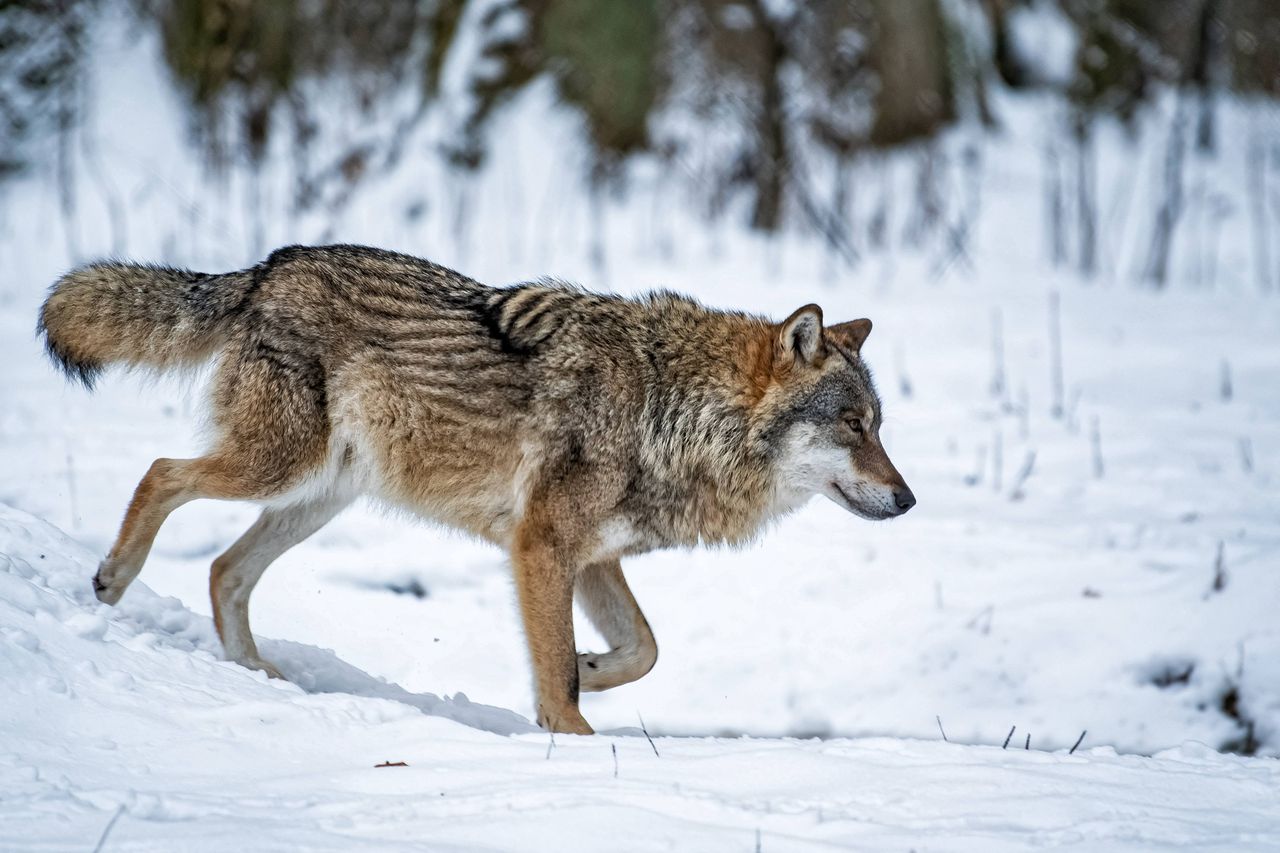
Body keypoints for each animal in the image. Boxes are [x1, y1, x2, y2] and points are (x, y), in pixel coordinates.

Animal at [35, 244, 911, 732]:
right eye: (853, 425)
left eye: (880, 424)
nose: (907, 500)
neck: (672, 409)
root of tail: (270, 266)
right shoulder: (541, 545)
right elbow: (561, 671)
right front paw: (572, 738)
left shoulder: (590, 558)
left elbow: (644, 648)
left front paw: (592, 665)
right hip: (277, 465)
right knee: (161, 473)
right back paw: (112, 580)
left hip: (319, 495)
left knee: (225, 569)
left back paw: (260, 678)